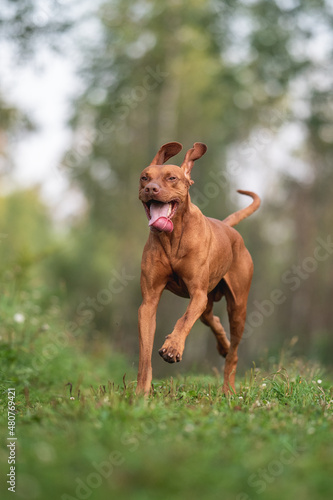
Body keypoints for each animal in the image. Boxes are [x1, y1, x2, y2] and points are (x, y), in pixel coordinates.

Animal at [135, 143, 260, 396]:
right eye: (144, 177)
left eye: (172, 178)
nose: (151, 188)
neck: (172, 237)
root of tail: (227, 227)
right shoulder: (149, 301)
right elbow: (145, 353)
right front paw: (141, 392)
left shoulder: (198, 293)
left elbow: (183, 320)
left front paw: (172, 347)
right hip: (209, 302)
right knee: (212, 319)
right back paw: (223, 344)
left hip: (237, 307)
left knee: (233, 353)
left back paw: (228, 388)